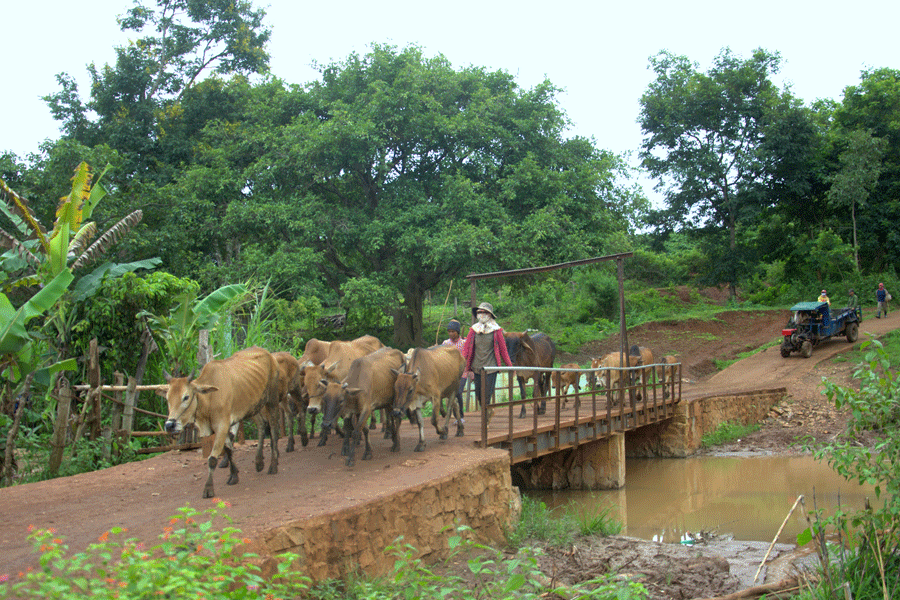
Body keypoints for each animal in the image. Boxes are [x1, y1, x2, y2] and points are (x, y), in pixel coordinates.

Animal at [158, 344, 278, 500]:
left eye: (186, 397)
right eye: (167, 398)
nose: (170, 425)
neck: (208, 399)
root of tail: (267, 353)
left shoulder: (222, 425)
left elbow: (212, 459)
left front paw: (208, 489)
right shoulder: (222, 428)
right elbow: (228, 449)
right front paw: (234, 475)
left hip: (272, 400)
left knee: (274, 429)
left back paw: (273, 465)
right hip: (253, 406)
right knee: (262, 425)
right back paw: (259, 462)